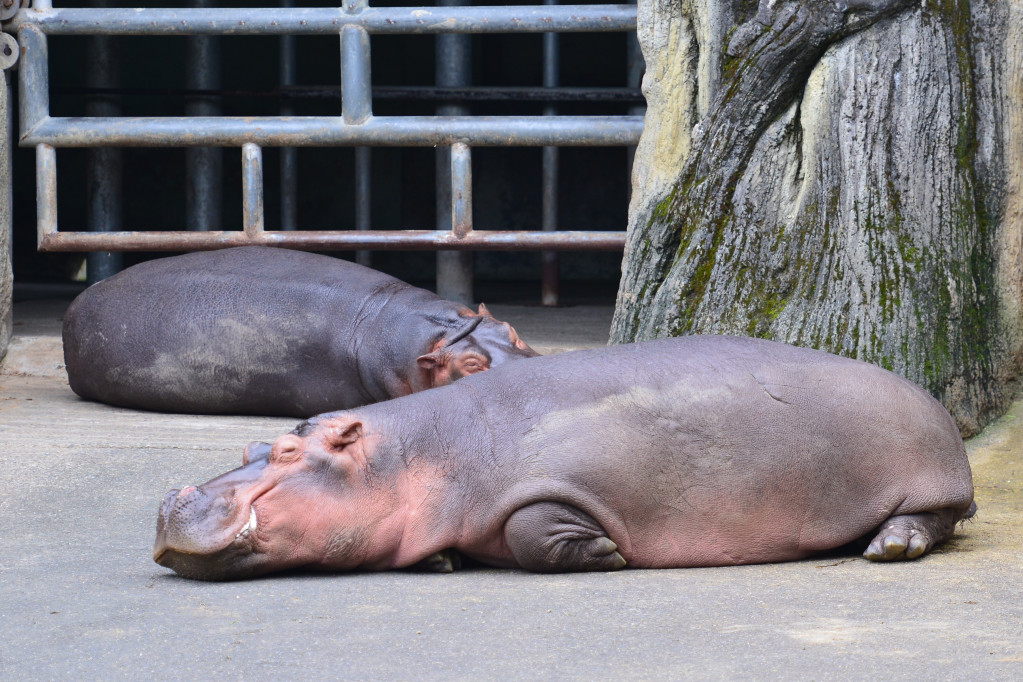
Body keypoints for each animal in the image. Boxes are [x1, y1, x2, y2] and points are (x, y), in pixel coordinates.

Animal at [151, 337, 973, 580]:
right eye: (254, 444)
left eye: (289, 450)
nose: (171, 499)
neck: (415, 453)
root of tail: (925, 395)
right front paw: (441, 559)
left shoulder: (551, 487)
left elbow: (533, 528)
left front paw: (606, 553)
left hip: (928, 480)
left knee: (935, 520)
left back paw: (889, 547)